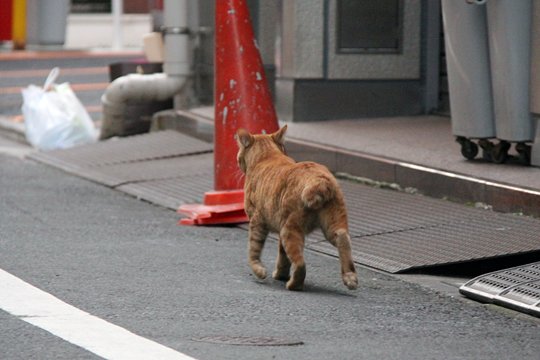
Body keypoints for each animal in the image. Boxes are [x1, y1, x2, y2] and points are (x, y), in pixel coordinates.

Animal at [236, 125, 358, 292]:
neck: (267, 156)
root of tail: (319, 180)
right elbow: (283, 256)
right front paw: (280, 274)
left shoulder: (257, 222)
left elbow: (253, 249)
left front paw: (259, 270)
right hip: (332, 225)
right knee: (343, 239)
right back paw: (350, 277)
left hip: (290, 229)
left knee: (300, 263)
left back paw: (294, 284)